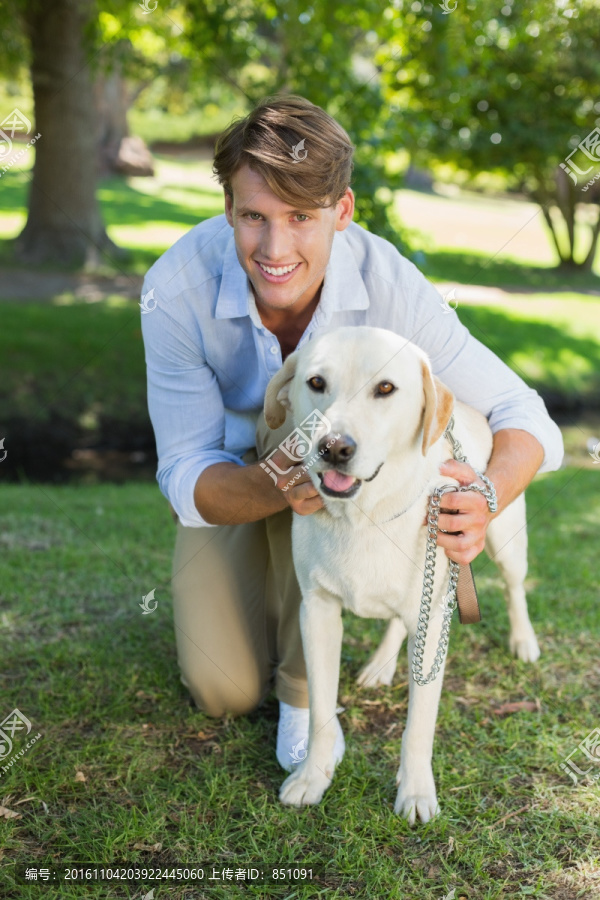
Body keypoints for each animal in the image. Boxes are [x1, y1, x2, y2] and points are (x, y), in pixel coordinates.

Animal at [264, 326, 540, 828]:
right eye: (316, 383)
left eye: (386, 388)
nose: (334, 448)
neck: (363, 516)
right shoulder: (317, 612)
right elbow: (319, 710)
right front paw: (313, 778)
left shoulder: (432, 632)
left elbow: (418, 728)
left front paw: (414, 792)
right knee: (400, 620)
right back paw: (381, 664)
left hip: (504, 543)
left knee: (514, 589)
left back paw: (523, 641)